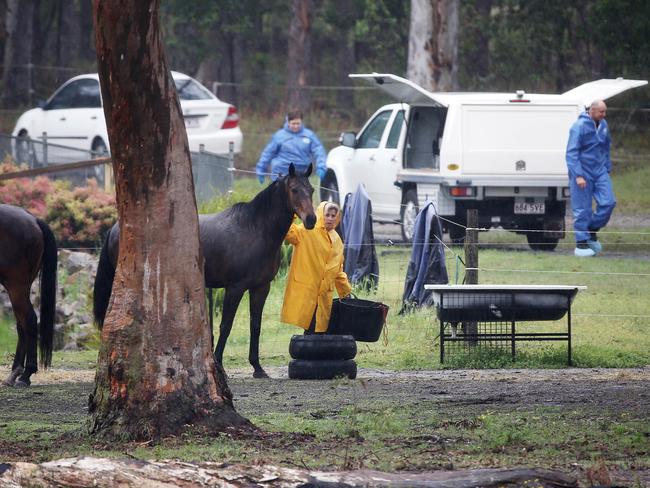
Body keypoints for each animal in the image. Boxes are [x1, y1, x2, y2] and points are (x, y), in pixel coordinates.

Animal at [0, 202, 57, 386]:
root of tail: (33, 219)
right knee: (22, 324)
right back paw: (14, 373)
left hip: (16, 286)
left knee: (29, 320)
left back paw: (25, 375)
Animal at [92, 163, 316, 378]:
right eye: (294, 190)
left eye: (312, 190)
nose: (311, 219)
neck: (254, 229)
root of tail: (115, 229)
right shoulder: (234, 288)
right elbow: (225, 325)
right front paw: (219, 364)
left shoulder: (261, 288)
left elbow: (255, 326)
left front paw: (257, 368)